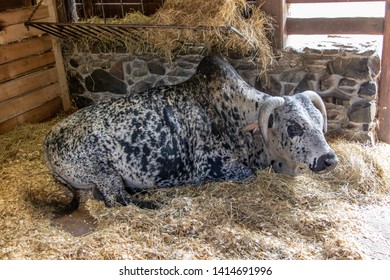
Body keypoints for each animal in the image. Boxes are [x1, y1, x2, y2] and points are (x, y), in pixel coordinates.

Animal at [44, 55, 338, 211]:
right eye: (293, 126)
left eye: (318, 120)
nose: (329, 159)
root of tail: (48, 140)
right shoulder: (212, 167)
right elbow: (247, 173)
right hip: (105, 173)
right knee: (117, 200)